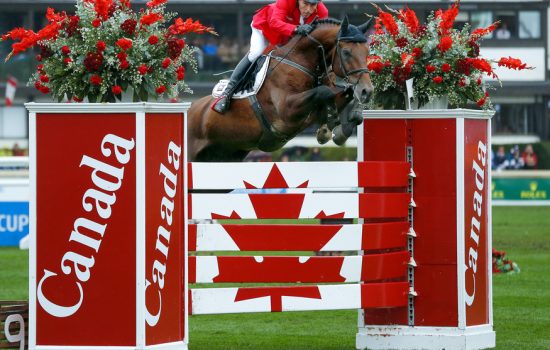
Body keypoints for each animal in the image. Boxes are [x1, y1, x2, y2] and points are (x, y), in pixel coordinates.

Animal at [188, 16, 374, 163]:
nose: (367, 91)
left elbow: (347, 98)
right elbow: (325, 92)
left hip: (226, 155)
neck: (300, 61)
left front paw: (340, 128)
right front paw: (329, 126)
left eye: (367, 51)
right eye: (347, 52)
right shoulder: (287, 110)